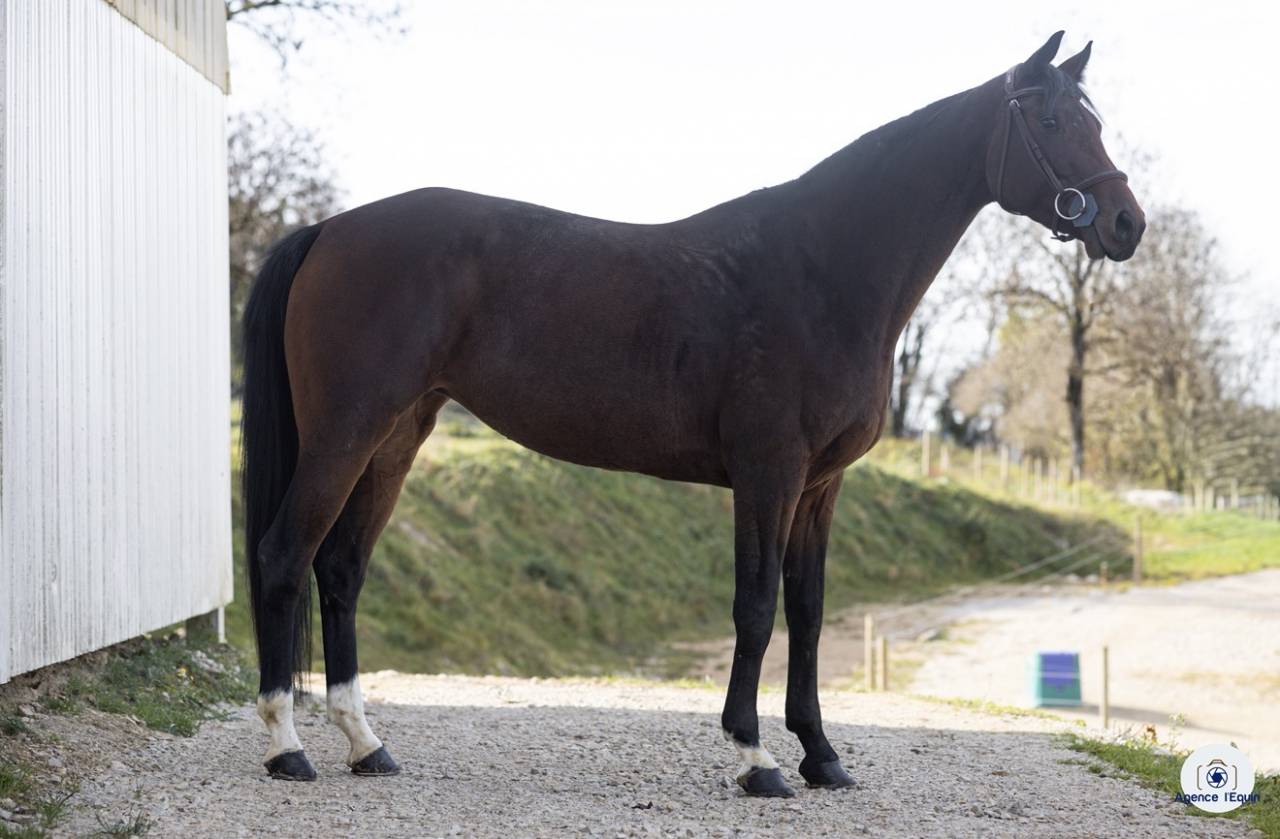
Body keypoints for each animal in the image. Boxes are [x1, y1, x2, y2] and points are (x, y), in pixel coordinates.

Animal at [240, 31, 1144, 797]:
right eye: (1054, 120)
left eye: (1096, 119)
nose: (1127, 222)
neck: (821, 269)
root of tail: (330, 229)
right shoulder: (768, 473)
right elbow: (756, 605)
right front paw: (756, 758)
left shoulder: (821, 486)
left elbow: (809, 612)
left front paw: (822, 756)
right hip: (347, 430)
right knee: (285, 554)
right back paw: (287, 747)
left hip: (398, 434)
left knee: (341, 568)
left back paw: (367, 744)